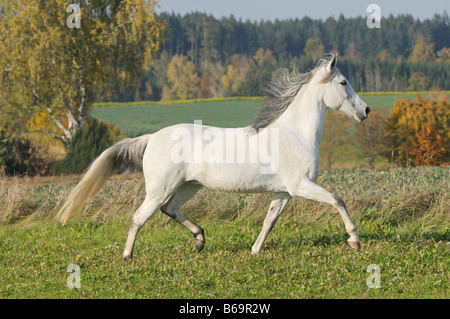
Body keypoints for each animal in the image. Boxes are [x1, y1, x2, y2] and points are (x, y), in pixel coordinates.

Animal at [58, 53, 370, 260]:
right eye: (343, 82)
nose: (366, 110)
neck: (293, 134)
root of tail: (151, 138)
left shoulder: (284, 191)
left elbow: (269, 221)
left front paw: (255, 251)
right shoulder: (301, 185)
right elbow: (338, 200)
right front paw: (354, 240)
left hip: (189, 186)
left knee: (169, 209)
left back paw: (199, 240)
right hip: (160, 189)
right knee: (138, 217)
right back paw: (127, 256)